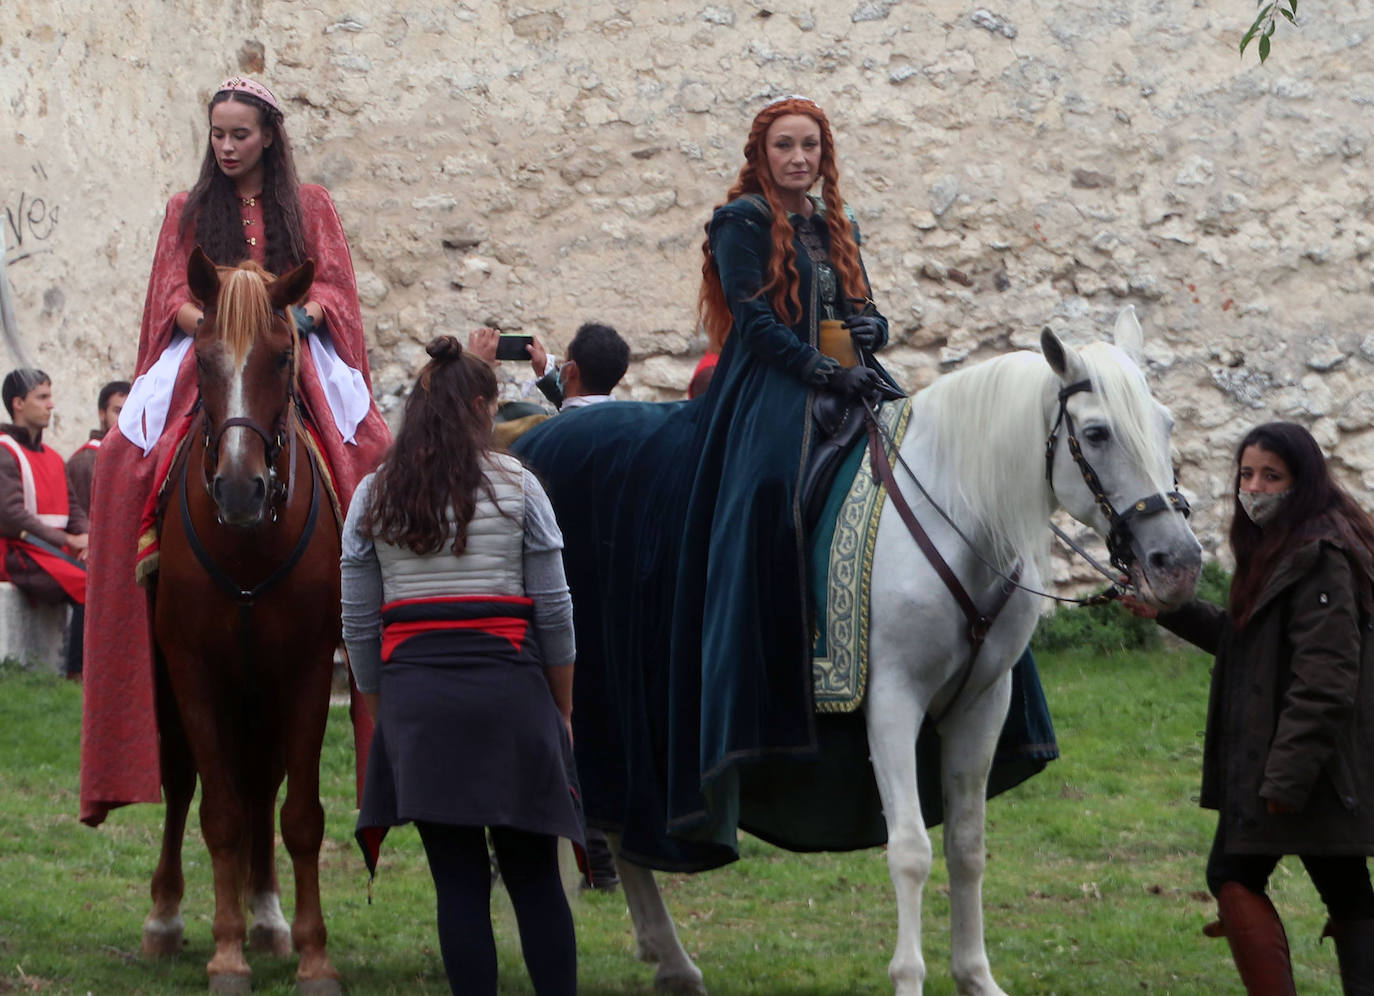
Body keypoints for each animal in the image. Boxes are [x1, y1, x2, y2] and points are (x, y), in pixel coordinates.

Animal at [142, 248, 346, 994]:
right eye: (203, 359)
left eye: (284, 356)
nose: (237, 489)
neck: (248, 543)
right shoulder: (193, 669)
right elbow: (219, 811)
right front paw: (225, 953)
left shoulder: (308, 669)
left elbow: (301, 816)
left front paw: (314, 955)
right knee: (183, 781)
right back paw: (166, 918)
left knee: (263, 784)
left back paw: (268, 915)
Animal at [604, 306, 1203, 989]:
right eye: (1098, 433)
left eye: (1167, 423)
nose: (1179, 562)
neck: (959, 518)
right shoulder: (892, 701)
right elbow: (912, 850)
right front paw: (910, 979)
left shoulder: (982, 703)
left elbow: (966, 846)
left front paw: (975, 977)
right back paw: (671, 957)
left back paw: (666, 957)